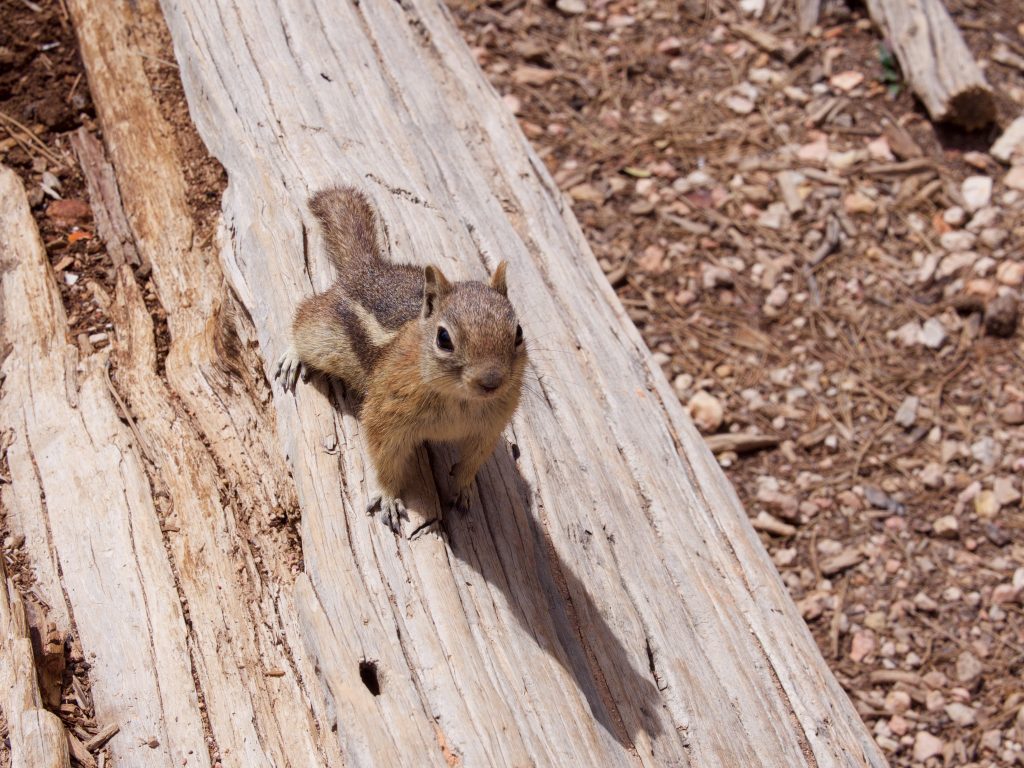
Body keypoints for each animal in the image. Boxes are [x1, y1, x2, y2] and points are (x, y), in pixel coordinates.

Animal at [274, 189, 528, 532]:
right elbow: (384, 456)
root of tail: (368, 269)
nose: (491, 381)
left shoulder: (489, 427)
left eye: (518, 332)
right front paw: (388, 496)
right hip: (324, 333)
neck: (460, 400)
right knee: (304, 320)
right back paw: (293, 355)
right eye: (444, 338)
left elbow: (472, 460)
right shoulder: (387, 413)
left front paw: (463, 488)